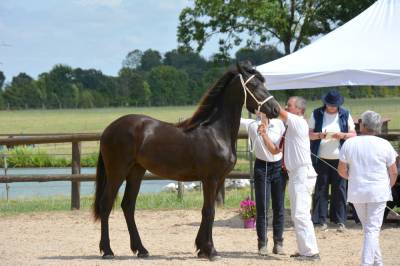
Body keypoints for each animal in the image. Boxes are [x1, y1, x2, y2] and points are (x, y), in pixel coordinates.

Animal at [94, 61, 282, 260]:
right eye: (253, 85)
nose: (276, 109)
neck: (215, 132)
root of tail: (109, 129)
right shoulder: (210, 179)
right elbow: (209, 211)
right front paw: (211, 251)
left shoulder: (219, 179)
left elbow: (207, 212)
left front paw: (202, 248)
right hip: (117, 171)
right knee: (106, 204)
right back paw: (107, 251)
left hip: (136, 171)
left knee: (128, 206)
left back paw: (141, 250)